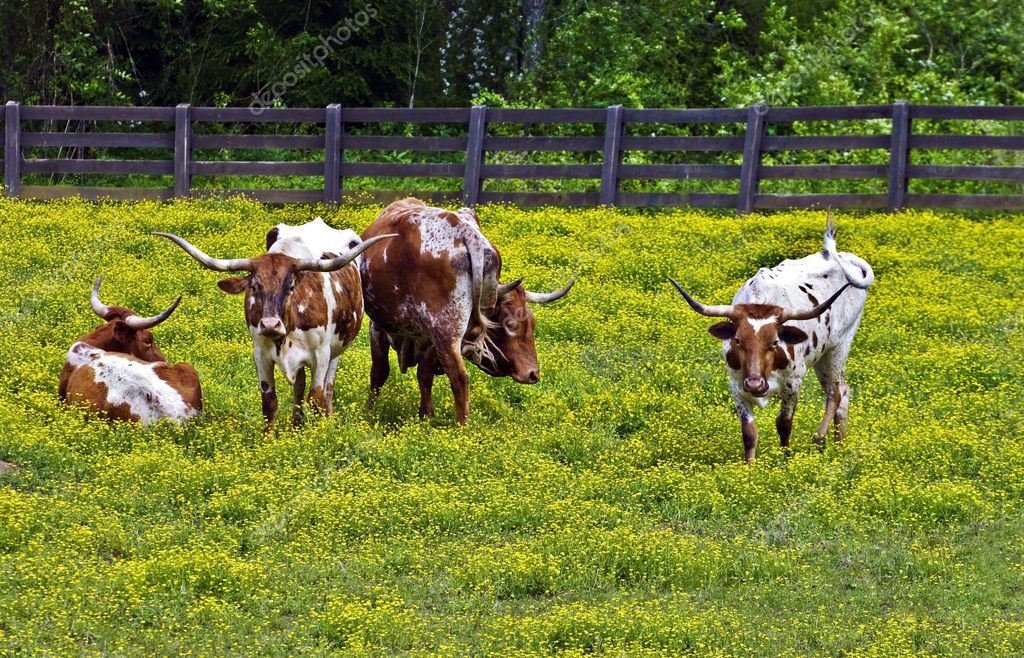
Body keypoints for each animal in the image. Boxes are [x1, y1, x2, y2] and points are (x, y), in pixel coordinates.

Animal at [156, 223, 395, 427]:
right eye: (254, 286)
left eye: (290, 286)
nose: (270, 324)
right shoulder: (260, 354)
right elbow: (270, 403)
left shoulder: (321, 354)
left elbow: (315, 398)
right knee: (299, 386)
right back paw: (297, 423)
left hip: (336, 349)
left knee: (327, 388)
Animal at [360, 198, 573, 425]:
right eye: (511, 326)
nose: (533, 374)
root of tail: (464, 231)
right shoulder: (428, 338)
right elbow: (422, 374)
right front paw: (426, 416)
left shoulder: (378, 327)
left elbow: (380, 371)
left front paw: (367, 411)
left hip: (445, 330)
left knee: (460, 377)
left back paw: (462, 426)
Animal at [667, 217, 876, 462]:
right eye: (737, 340)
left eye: (775, 342)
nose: (755, 384)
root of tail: (848, 258)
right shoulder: (736, 386)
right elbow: (749, 432)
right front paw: (750, 466)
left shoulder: (793, 383)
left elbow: (784, 424)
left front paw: (785, 459)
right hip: (822, 355)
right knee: (843, 390)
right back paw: (839, 446)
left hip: (839, 345)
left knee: (835, 392)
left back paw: (820, 438)